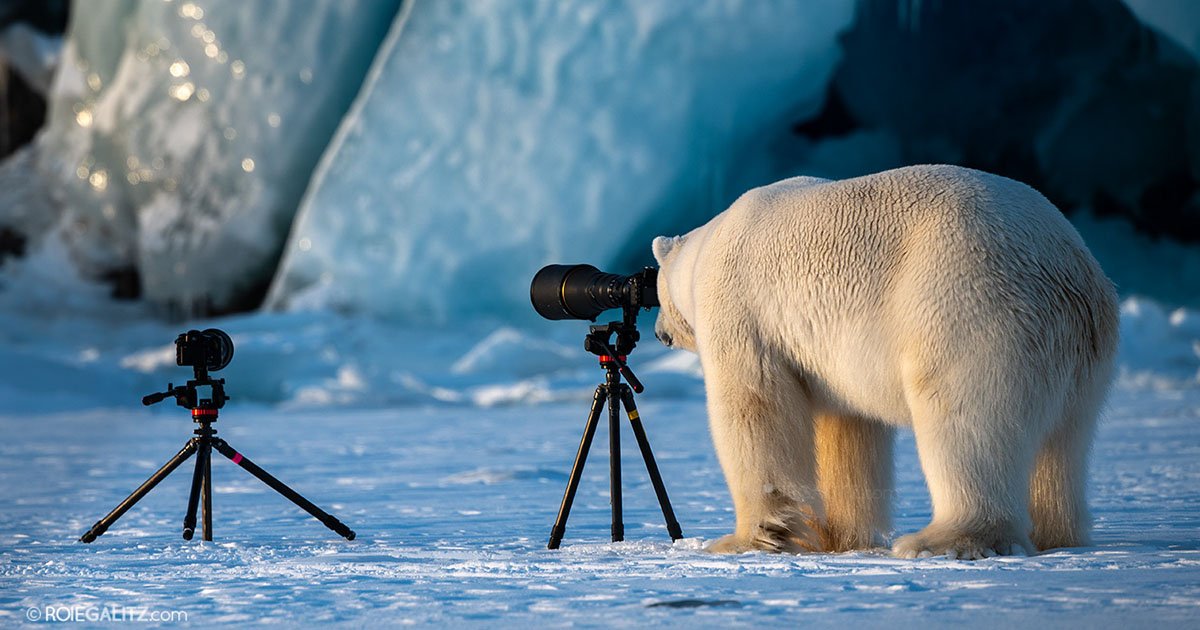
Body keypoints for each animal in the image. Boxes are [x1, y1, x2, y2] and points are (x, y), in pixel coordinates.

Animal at [651, 165, 1118, 559]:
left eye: (654, 292)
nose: (659, 333)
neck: (706, 248)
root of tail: (1068, 269)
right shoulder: (831, 358)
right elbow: (847, 430)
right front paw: (838, 537)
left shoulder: (741, 310)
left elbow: (754, 408)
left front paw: (746, 540)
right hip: (1081, 357)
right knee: (1064, 443)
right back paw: (1056, 534)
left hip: (970, 310)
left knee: (965, 423)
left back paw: (941, 540)